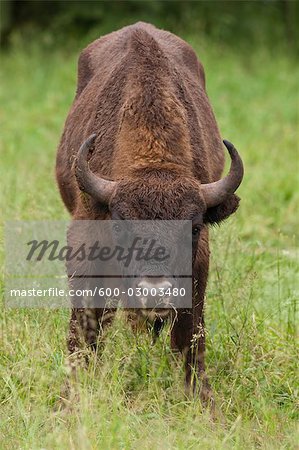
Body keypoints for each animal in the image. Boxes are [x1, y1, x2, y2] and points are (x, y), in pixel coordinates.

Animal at [55, 22, 244, 404]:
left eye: (193, 228)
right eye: (121, 226)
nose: (155, 291)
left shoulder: (198, 263)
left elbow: (189, 330)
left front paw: (202, 398)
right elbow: (85, 324)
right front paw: (71, 396)